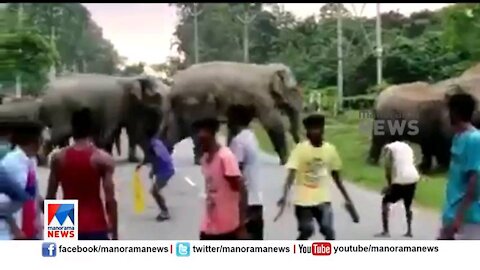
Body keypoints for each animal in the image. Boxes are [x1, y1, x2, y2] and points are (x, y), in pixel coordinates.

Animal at [161, 61, 304, 165]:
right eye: (294, 90)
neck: (268, 69)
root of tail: (172, 86)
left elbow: (237, 125)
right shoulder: (262, 97)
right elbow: (273, 123)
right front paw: (285, 161)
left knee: (178, 130)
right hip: (193, 102)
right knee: (195, 129)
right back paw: (198, 161)